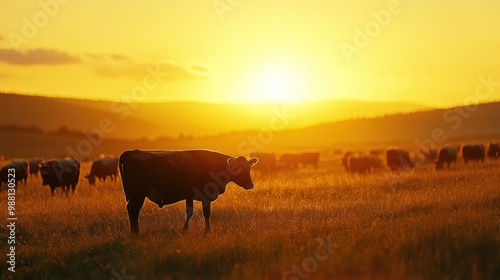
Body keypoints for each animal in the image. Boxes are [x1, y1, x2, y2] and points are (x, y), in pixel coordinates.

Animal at [117, 150, 258, 235]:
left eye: (249, 168)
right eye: (238, 169)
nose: (250, 185)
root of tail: (135, 151)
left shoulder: (189, 195)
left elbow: (190, 212)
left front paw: (185, 229)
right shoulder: (205, 196)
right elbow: (206, 214)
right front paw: (207, 231)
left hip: (134, 195)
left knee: (130, 209)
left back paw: (134, 231)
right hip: (138, 194)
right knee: (134, 210)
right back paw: (136, 232)